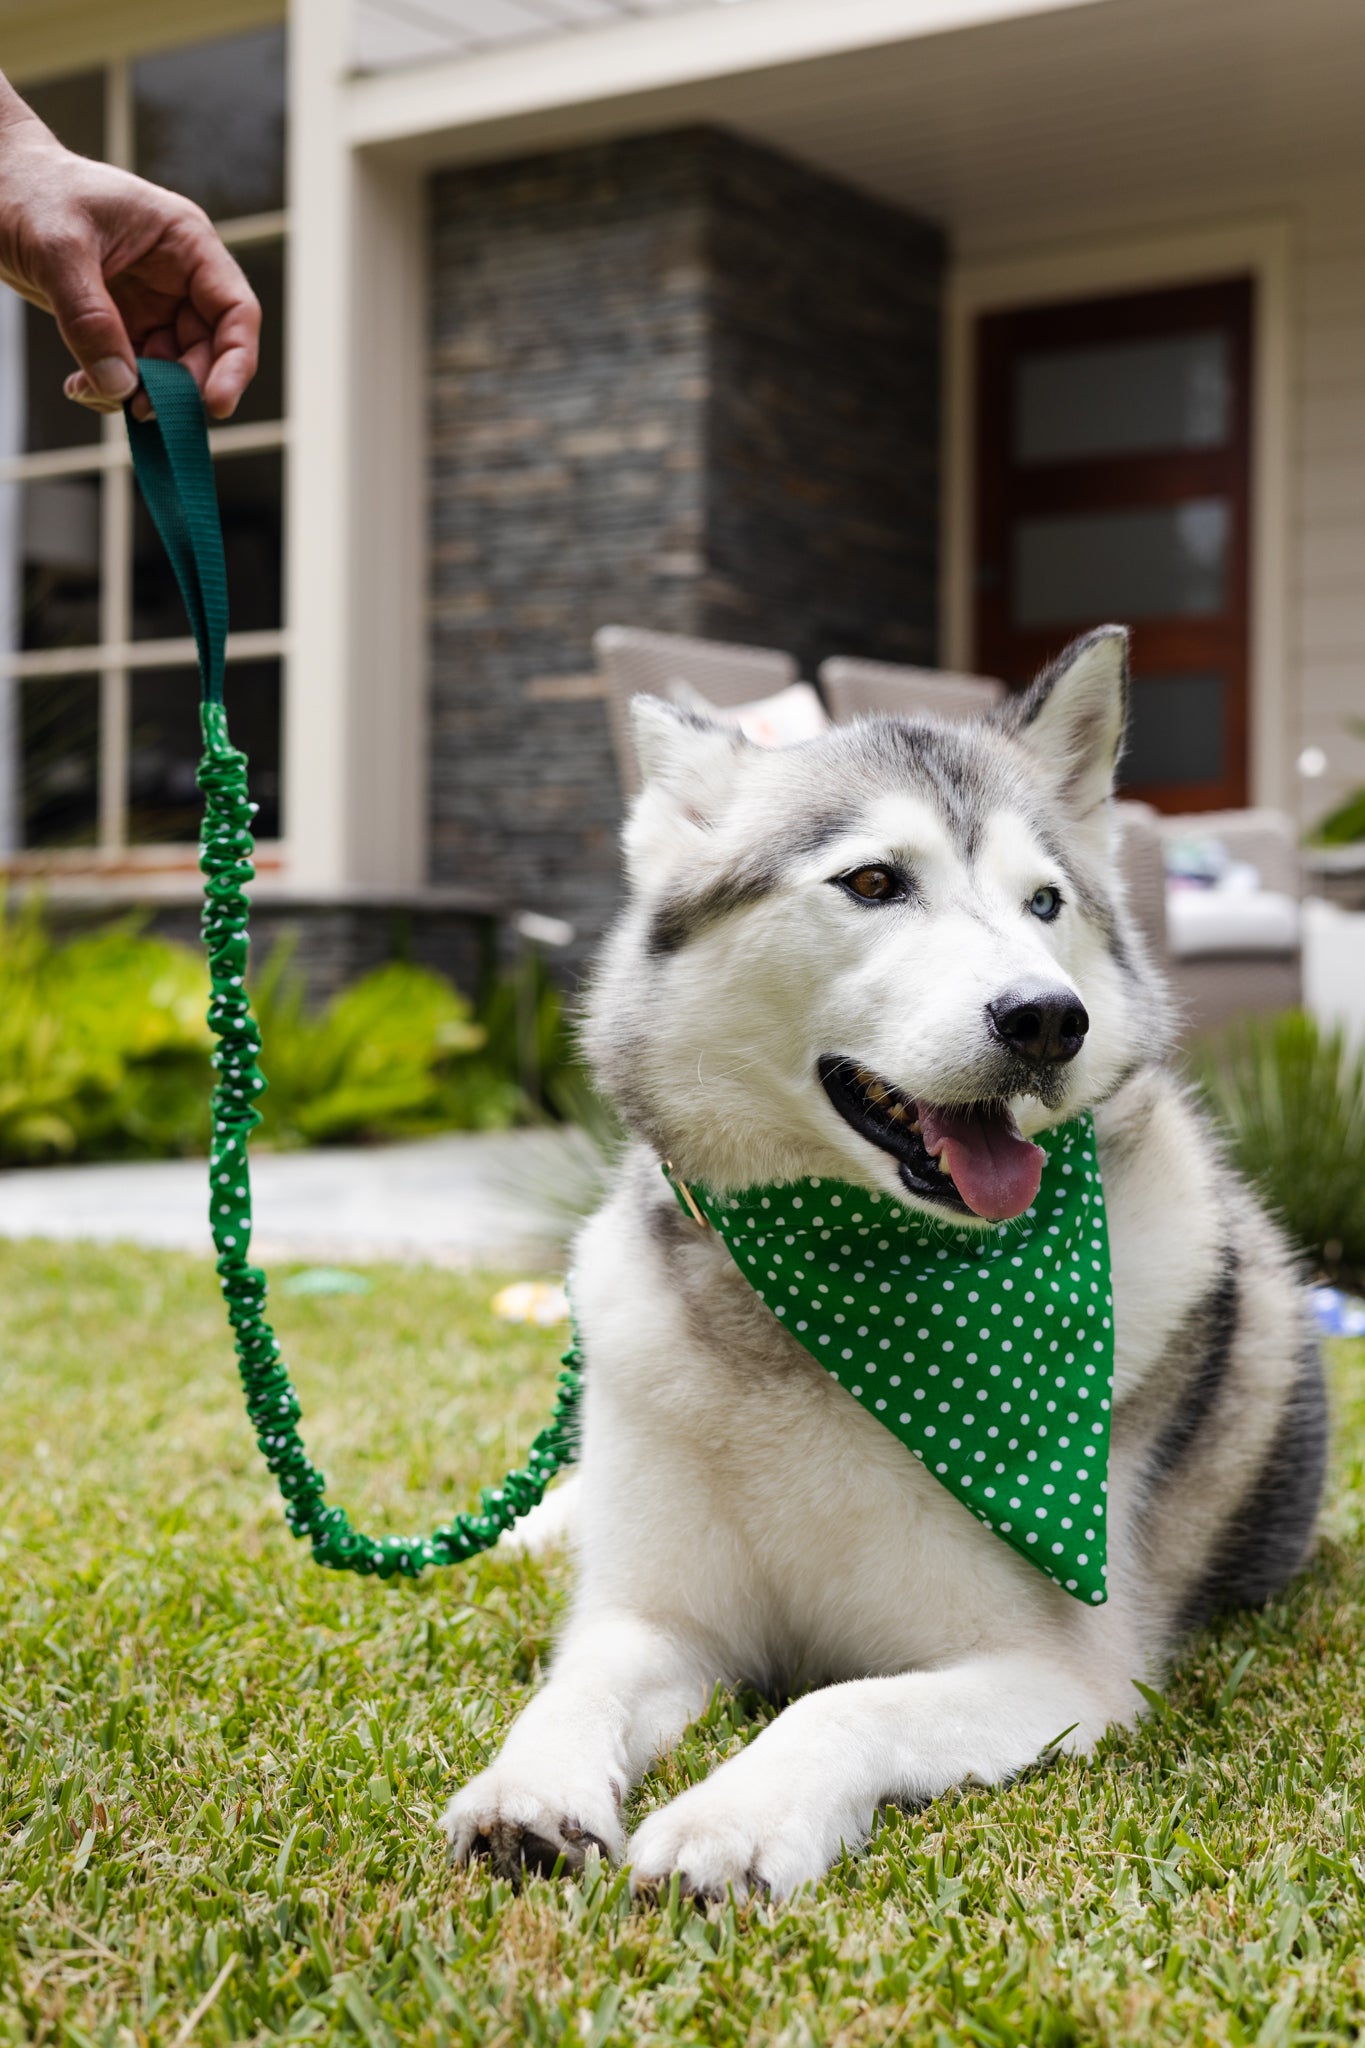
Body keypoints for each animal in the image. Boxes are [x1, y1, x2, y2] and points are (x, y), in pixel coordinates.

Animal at [444, 626, 1326, 1900]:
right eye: (872, 882)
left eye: (1045, 901)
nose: (1047, 1017)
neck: (834, 1292)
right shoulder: (656, 1616)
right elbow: (578, 1682)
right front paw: (529, 1789)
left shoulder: (1061, 1675)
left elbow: (836, 1703)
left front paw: (731, 1819)